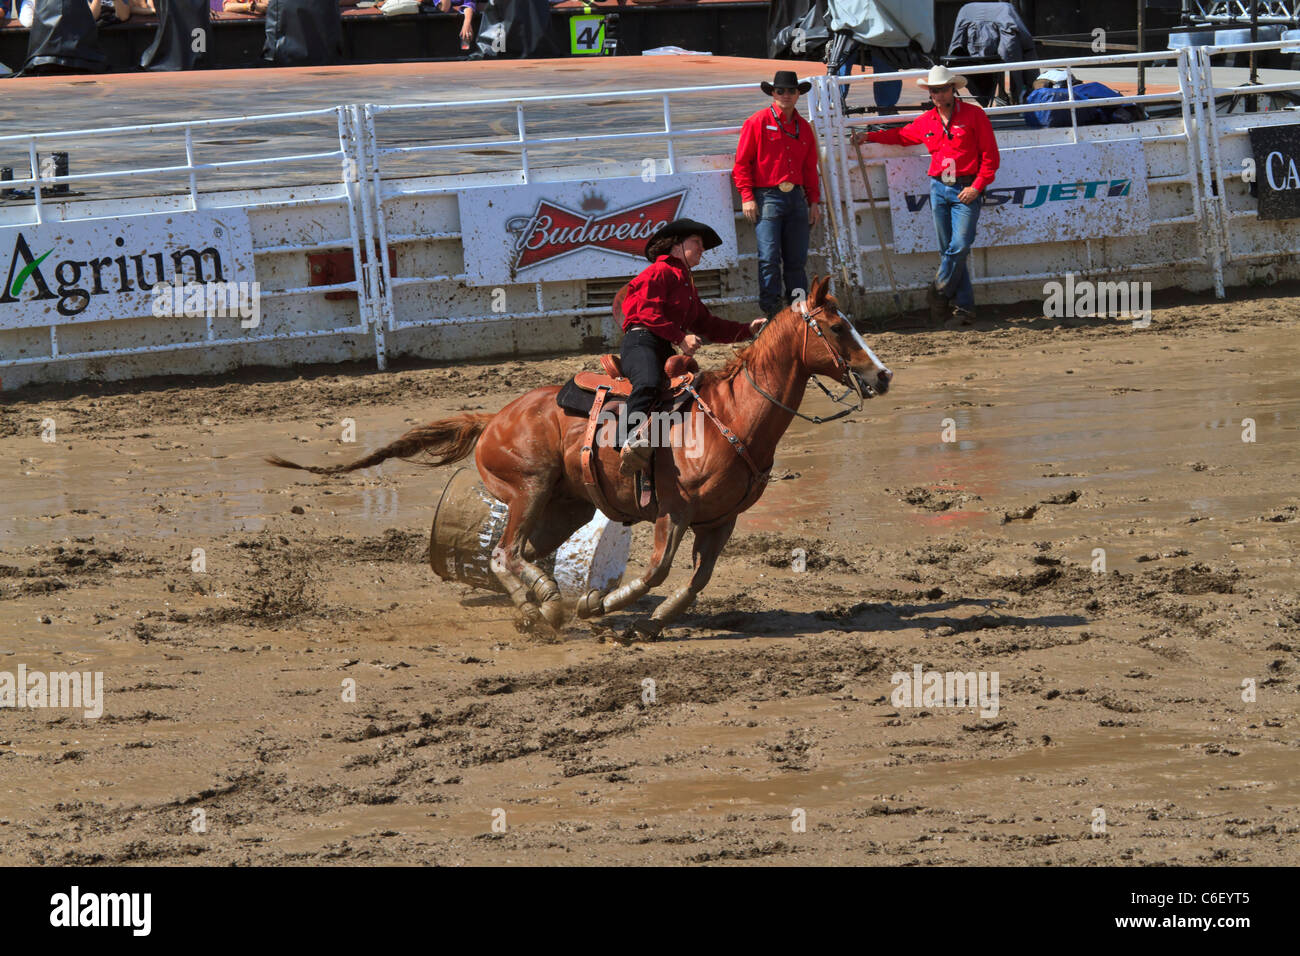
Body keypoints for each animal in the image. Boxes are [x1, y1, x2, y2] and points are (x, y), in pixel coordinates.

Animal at [263, 280, 894, 647]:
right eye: (836, 327)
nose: (883, 375)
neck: (730, 417)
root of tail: (494, 416)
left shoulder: (721, 520)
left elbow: (695, 581)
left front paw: (649, 622)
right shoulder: (673, 511)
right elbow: (657, 572)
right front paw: (601, 605)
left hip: (566, 505)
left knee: (518, 553)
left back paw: (542, 601)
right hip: (530, 487)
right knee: (505, 551)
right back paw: (542, 604)